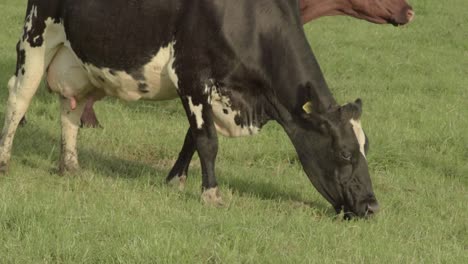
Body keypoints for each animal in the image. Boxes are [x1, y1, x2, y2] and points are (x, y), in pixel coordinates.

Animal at [0, 0, 378, 219]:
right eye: (345, 153)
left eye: (366, 148)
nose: (372, 205)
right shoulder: (192, 73)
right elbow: (207, 140)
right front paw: (211, 194)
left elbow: (192, 138)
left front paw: (174, 180)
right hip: (36, 38)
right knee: (19, 98)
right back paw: (5, 162)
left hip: (80, 60)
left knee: (72, 108)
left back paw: (70, 166)